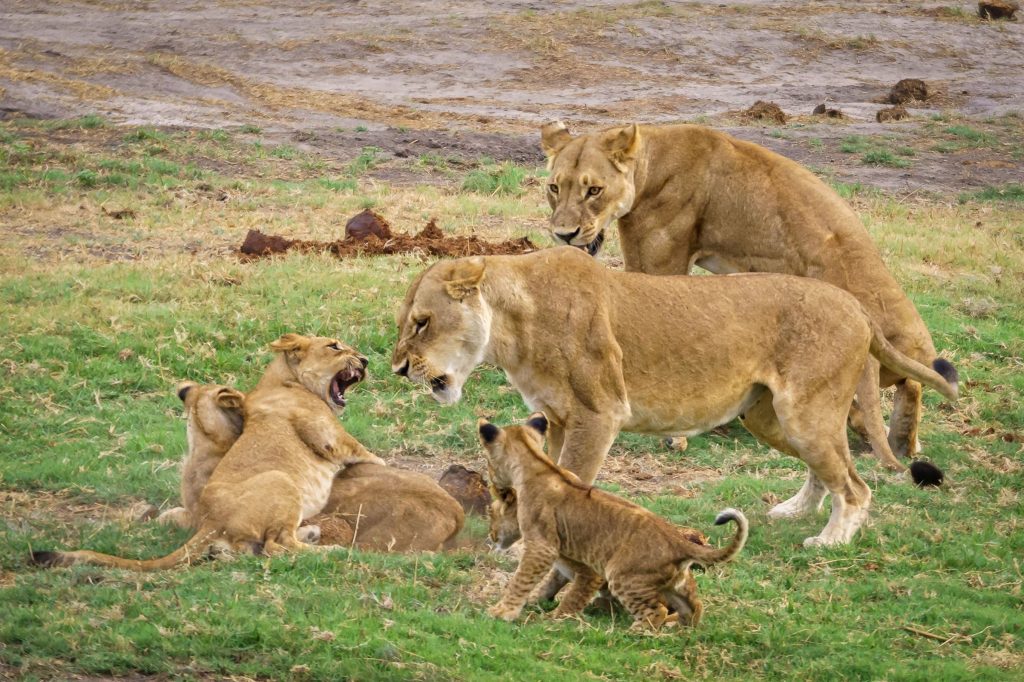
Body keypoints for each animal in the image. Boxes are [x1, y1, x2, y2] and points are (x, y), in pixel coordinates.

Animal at [391, 247, 958, 546]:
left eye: (422, 323)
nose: (398, 368)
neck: (513, 325)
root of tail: (855, 305)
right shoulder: (555, 420)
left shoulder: (599, 414)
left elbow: (571, 479)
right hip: (770, 418)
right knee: (829, 469)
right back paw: (796, 511)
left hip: (804, 413)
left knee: (856, 486)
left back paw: (830, 540)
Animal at [478, 414, 747, 629]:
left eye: (491, 512)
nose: (490, 535)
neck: (540, 466)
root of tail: (678, 541)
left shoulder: (542, 547)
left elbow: (522, 581)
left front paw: (503, 613)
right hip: (675, 585)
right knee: (695, 606)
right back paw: (679, 628)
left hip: (622, 575)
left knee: (656, 611)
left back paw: (636, 632)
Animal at [540, 121, 950, 464]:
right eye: (554, 187)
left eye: (594, 190)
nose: (563, 234)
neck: (650, 165)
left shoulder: (659, 264)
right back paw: (904, 442)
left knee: (902, 390)